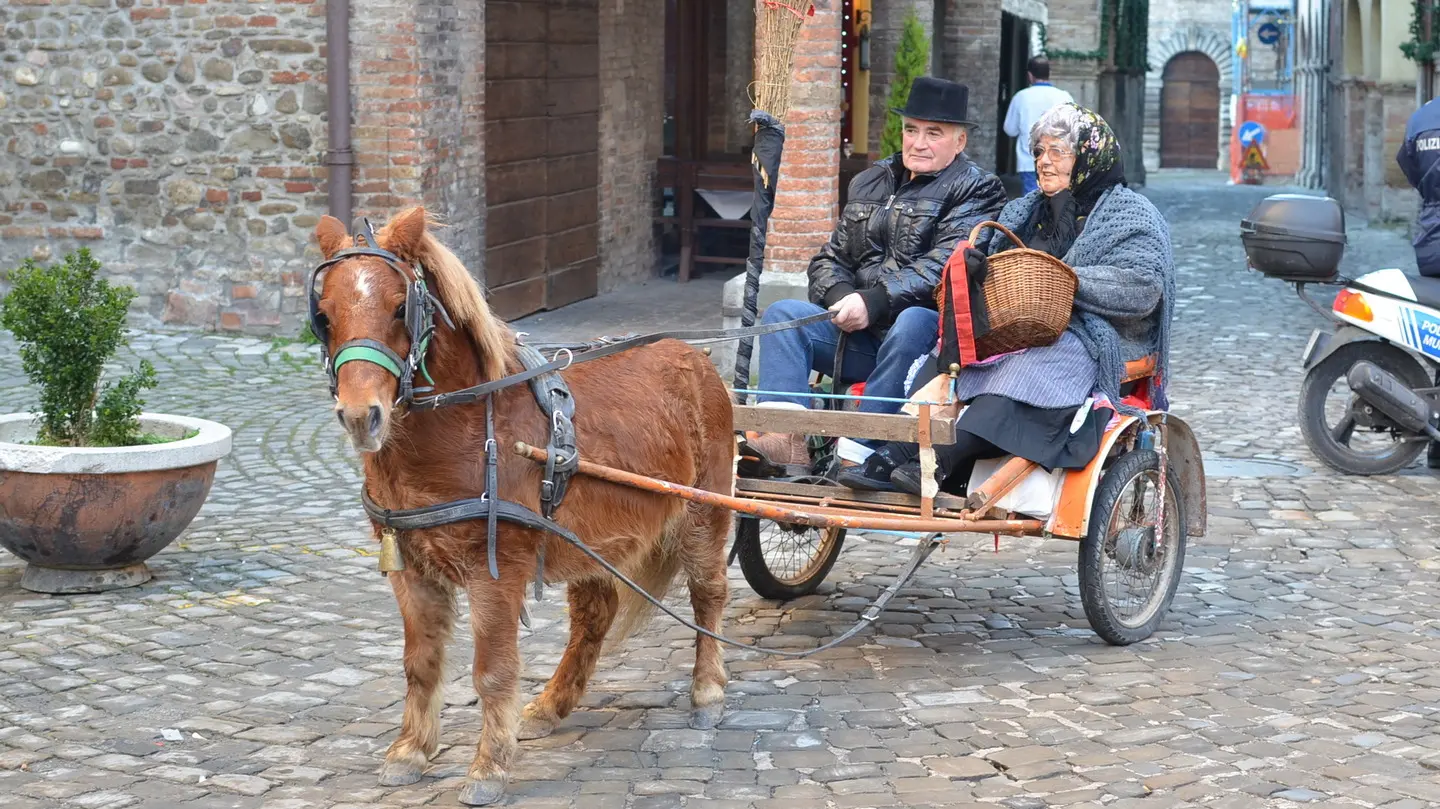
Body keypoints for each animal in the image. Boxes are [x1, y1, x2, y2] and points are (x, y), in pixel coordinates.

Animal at [316, 205, 743, 800]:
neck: (468, 428)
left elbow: (492, 670)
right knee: (595, 614)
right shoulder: (410, 568)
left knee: (708, 596)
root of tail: (694, 354)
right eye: (324, 315)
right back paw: (550, 706)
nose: (361, 417)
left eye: (401, 307)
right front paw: (411, 752)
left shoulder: (495, 570)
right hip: (593, 540)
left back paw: (707, 693)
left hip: (703, 513)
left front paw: (488, 768)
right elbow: (420, 664)